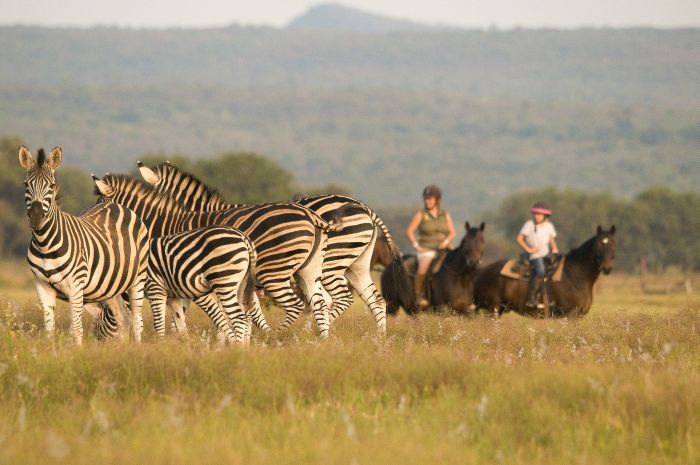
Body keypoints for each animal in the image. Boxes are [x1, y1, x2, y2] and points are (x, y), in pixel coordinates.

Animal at [17, 146, 149, 344]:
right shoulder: (42, 286)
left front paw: (77, 351)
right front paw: (51, 350)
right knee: (122, 319)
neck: (45, 244)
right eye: (26, 185)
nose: (36, 217)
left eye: (52, 186)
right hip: (108, 288)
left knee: (137, 320)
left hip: (137, 278)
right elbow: (49, 329)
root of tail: (115, 204)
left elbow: (76, 330)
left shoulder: (76, 286)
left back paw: (137, 347)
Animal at [93, 226, 258, 344]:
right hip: (240, 285)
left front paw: (160, 347)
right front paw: (184, 349)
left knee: (238, 318)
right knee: (244, 315)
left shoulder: (155, 288)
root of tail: (243, 237)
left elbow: (159, 324)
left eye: (97, 328)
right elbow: (181, 325)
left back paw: (238, 349)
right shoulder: (173, 297)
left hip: (224, 281)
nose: (99, 347)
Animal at [139, 160, 418, 334]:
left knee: (335, 299)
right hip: (355, 265)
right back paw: (379, 341)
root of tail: (365, 208)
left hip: (331, 264)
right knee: (374, 301)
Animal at [474, 223, 616, 318]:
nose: (606, 268)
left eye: (613, 244)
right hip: (492, 309)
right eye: (597, 245)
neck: (575, 275)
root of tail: (481, 271)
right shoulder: (570, 315)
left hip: (499, 310)